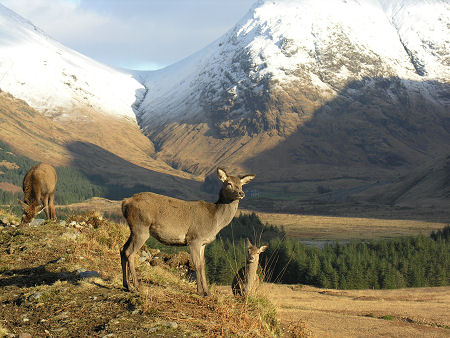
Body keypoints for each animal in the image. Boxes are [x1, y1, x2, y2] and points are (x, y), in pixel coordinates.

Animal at [119, 168, 255, 294]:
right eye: (229, 183)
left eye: (241, 184)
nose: (241, 193)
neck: (215, 221)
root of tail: (125, 202)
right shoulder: (194, 238)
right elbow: (197, 264)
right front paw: (200, 292)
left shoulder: (203, 243)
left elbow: (203, 265)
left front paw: (208, 292)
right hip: (141, 228)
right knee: (129, 252)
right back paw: (136, 286)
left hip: (134, 230)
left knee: (122, 249)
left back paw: (127, 285)